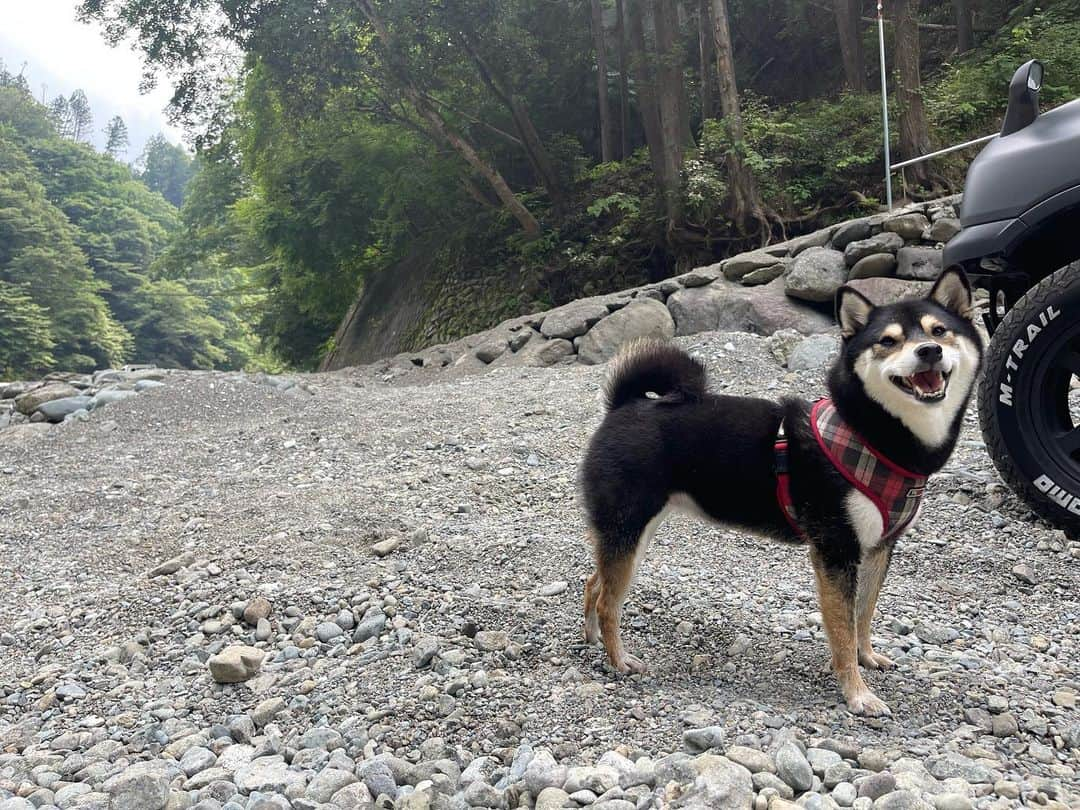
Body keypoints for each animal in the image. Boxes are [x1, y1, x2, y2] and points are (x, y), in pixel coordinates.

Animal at [583, 270, 989, 712]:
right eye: (888, 341)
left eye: (939, 331)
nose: (929, 351)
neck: (875, 437)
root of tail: (624, 405)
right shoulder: (835, 550)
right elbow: (843, 628)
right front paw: (857, 692)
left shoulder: (879, 549)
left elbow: (863, 615)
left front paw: (866, 657)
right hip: (628, 527)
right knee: (607, 600)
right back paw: (618, 659)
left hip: (633, 534)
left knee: (593, 583)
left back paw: (591, 639)